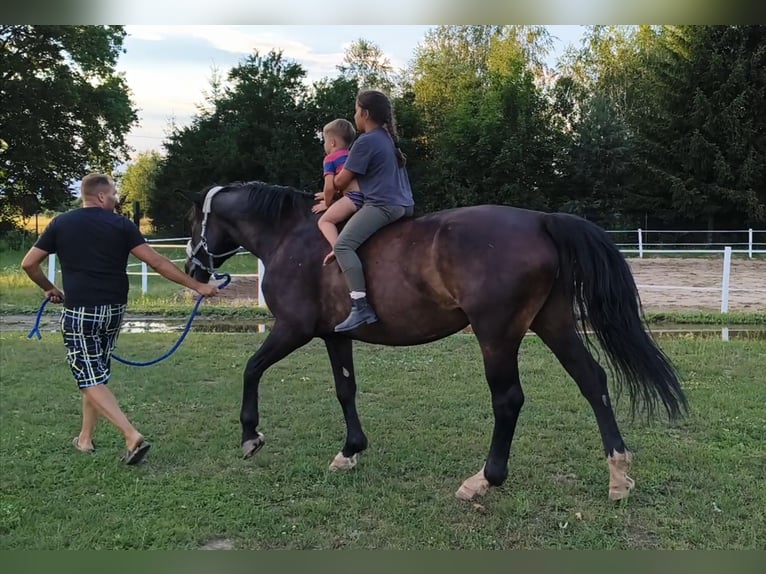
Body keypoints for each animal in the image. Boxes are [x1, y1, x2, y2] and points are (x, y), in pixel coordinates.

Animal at [182, 181, 687, 502]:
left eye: (194, 220)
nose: (192, 269)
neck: (293, 237)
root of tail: (542, 220)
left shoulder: (293, 329)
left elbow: (251, 368)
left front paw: (250, 436)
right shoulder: (333, 336)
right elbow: (345, 389)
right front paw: (350, 451)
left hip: (497, 334)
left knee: (508, 399)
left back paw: (484, 479)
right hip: (554, 323)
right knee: (592, 380)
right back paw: (618, 476)